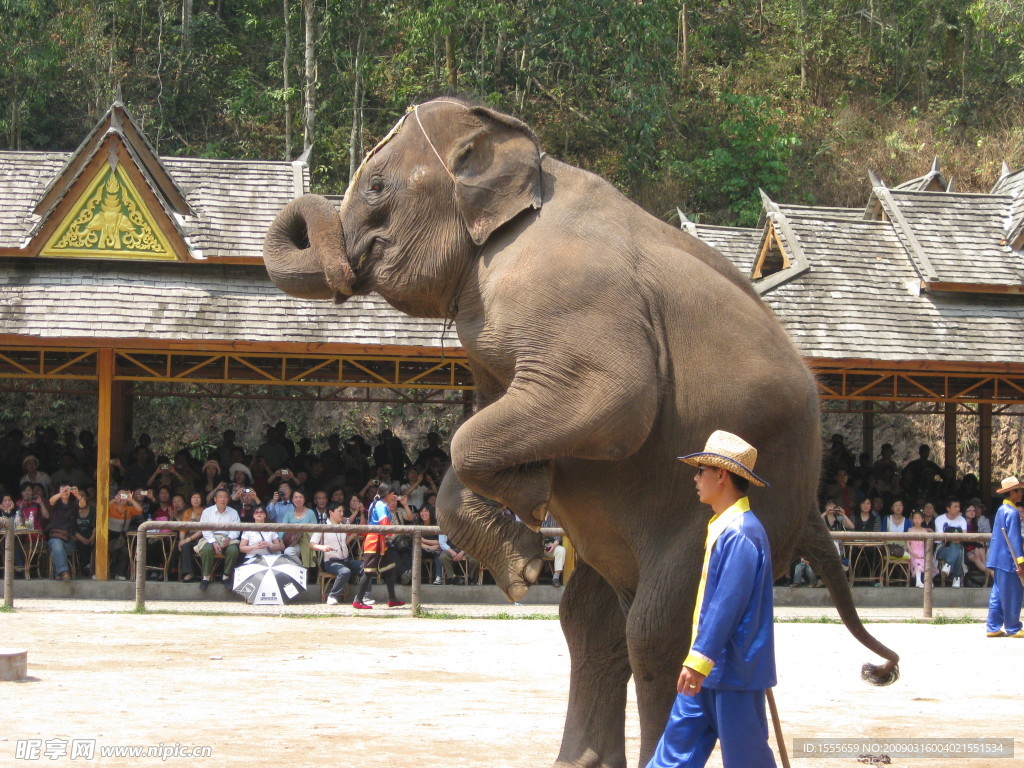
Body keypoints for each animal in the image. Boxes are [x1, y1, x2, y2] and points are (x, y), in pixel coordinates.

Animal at [262, 99, 897, 765]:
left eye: (377, 187)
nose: (338, 266)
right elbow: (488, 428)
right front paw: (523, 551)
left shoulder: (568, 296)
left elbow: (610, 399)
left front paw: (524, 524)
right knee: (590, 623)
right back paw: (579, 758)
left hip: (759, 489)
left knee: (660, 629)